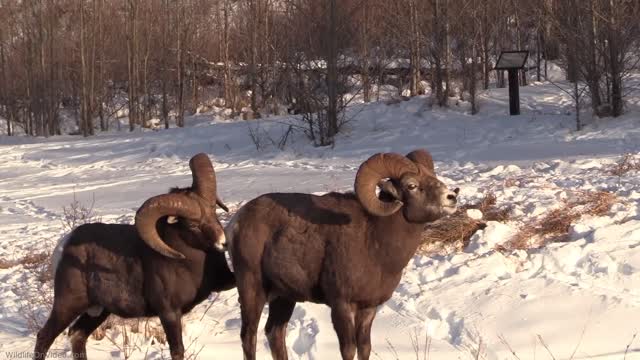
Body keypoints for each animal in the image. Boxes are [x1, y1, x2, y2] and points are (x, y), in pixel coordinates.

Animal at [33, 154, 234, 360]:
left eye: (213, 211)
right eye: (193, 225)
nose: (223, 242)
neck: (188, 265)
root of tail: (64, 246)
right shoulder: (169, 313)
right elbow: (177, 350)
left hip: (98, 311)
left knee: (77, 335)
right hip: (68, 305)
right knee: (44, 337)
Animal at [222, 149, 458, 360]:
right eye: (412, 185)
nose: (452, 197)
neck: (376, 244)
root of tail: (236, 222)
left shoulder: (368, 309)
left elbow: (364, 348)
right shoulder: (341, 306)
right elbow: (349, 350)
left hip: (284, 297)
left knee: (275, 333)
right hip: (252, 290)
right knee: (248, 337)